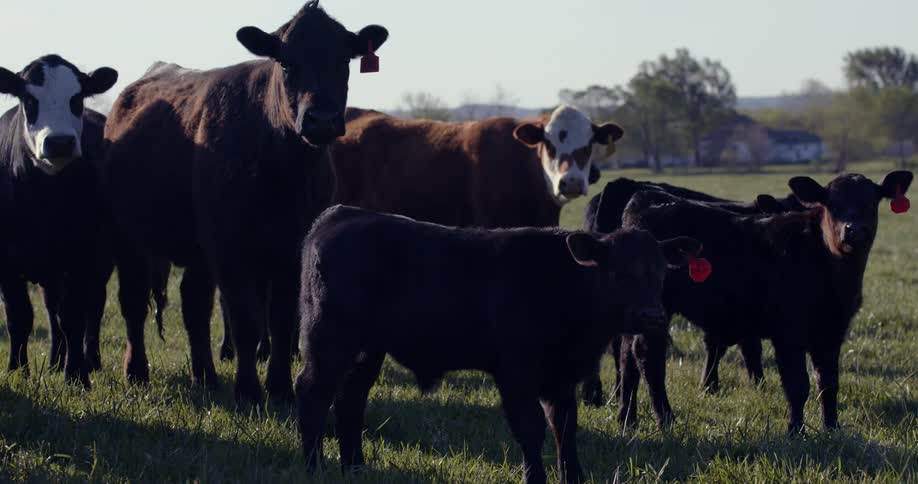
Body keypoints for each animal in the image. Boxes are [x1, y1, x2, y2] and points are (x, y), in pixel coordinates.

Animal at [0, 55, 118, 385]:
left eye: (76, 99)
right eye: (29, 99)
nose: (60, 142)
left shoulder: (82, 256)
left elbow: (75, 316)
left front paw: (77, 375)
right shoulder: (6, 264)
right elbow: (19, 317)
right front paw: (18, 370)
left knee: (93, 308)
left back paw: (90, 360)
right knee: (52, 312)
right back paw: (54, 361)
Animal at [101, 0, 388, 402]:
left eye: (345, 59)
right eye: (285, 61)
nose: (321, 120)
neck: (285, 170)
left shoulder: (292, 247)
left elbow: (282, 320)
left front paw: (280, 388)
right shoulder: (230, 245)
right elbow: (245, 320)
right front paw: (249, 390)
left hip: (196, 249)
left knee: (194, 303)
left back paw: (205, 376)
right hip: (128, 237)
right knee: (134, 301)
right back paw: (137, 372)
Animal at [294, 205, 703, 484]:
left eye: (661, 272)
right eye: (619, 273)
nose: (652, 316)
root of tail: (340, 214)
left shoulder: (561, 378)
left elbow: (565, 430)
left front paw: (573, 478)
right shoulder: (515, 373)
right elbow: (531, 429)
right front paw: (534, 479)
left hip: (366, 350)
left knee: (349, 399)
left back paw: (354, 467)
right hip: (328, 339)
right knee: (312, 391)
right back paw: (315, 467)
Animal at [614, 171, 912, 433]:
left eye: (871, 202)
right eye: (832, 204)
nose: (854, 231)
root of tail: (646, 197)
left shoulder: (832, 332)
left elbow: (828, 383)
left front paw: (832, 428)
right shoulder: (789, 332)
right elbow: (797, 385)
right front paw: (796, 431)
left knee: (628, 358)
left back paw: (627, 419)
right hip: (659, 310)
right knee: (649, 359)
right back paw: (666, 419)